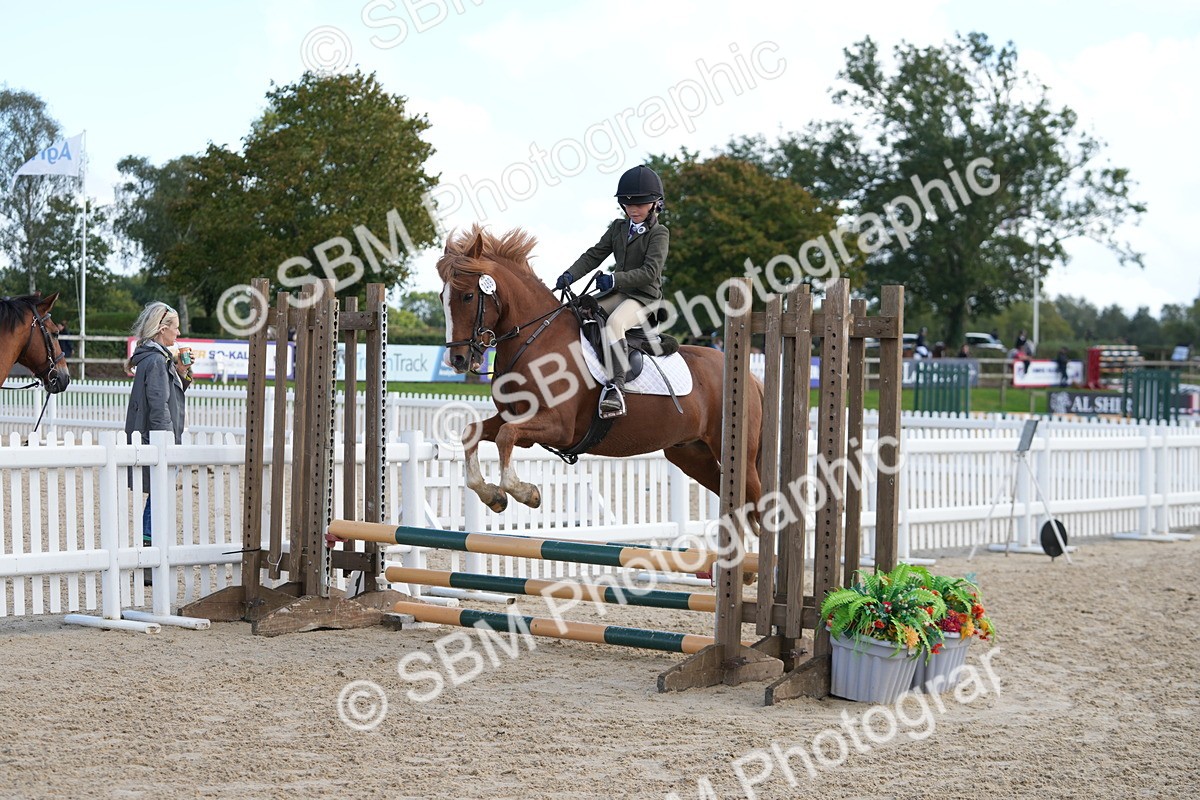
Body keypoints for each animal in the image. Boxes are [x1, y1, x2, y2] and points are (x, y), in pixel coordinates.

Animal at [438, 225, 763, 518]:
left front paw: (526, 493)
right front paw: (492, 495)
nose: (457, 359)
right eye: (442, 297)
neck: (537, 338)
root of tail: (749, 375)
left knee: (759, 504)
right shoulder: (516, 418)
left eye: (467, 296)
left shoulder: (559, 426)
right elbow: (472, 432)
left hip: (736, 457)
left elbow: (505, 437)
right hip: (691, 454)